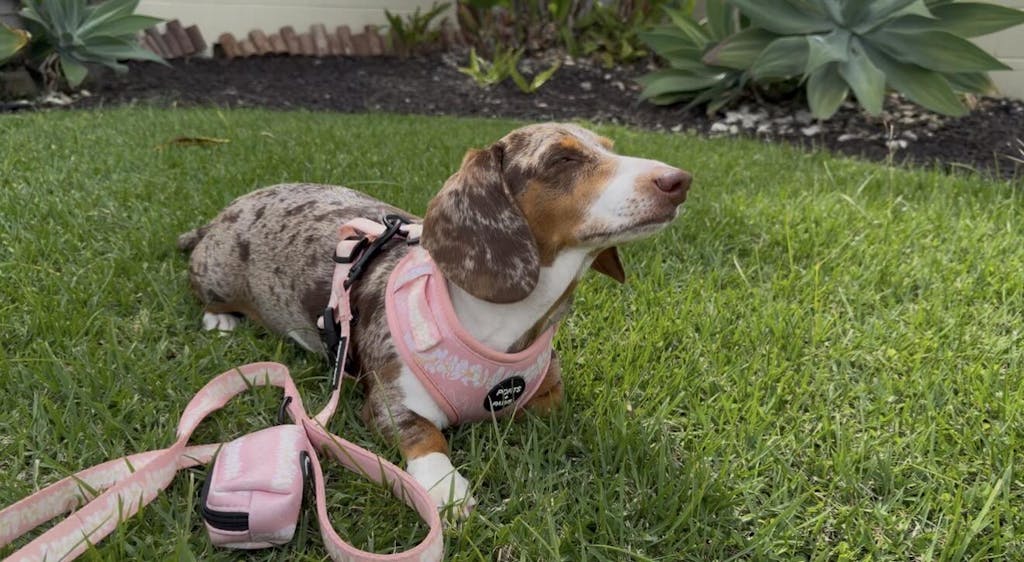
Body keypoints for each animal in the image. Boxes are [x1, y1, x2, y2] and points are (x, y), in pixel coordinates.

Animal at [178, 123, 691, 515]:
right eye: (562, 160)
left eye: (609, 147)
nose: (680, 180)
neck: (496, 322)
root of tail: (219, 217)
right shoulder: (390, 403)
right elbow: (424, 434)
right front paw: (445, 486)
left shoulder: (548, 396)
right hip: (217, 277)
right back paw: (219, 321)